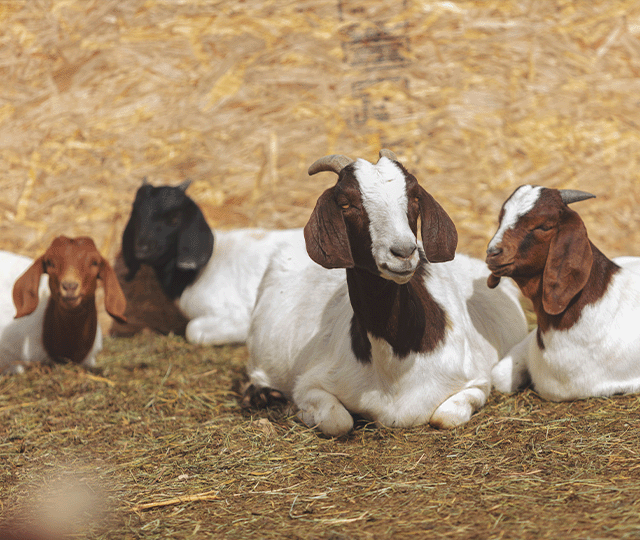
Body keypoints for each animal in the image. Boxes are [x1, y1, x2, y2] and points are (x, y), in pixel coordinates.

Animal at [245, 150, 528, 436]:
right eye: (345, 203)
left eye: (415, 196)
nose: (403, 252)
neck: (397, 361)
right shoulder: (310, 383)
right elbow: (338, 421)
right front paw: (296, 409)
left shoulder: (477, 382)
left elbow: (444, 417)